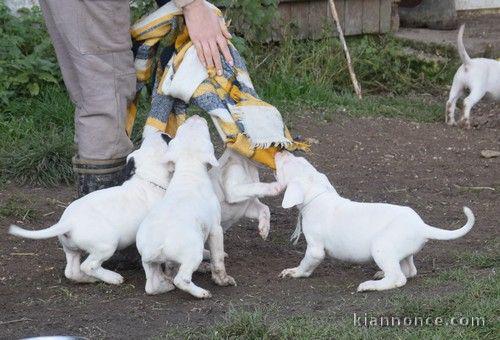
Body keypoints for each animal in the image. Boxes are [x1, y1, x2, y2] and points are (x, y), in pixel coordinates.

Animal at [8, 132, 174, 284]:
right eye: (167, 140)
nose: (162, 132)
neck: (147, 180)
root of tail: (68, 222)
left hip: (71, 249)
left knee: (72, 271)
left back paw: (88, 279)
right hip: (106, 245)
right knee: (88, 265)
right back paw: (112, 278)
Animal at [134, 115, 233, 298]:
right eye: (206, 132)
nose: (195, 116)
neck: (189, 170)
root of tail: (156, 247)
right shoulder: (216, 229)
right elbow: (218, 259)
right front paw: (222, 280)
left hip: (149, 264)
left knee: (151, 287)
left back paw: (166, 285)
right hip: (193, 254)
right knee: (182, 279)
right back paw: (201, 293)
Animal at [276, 152, 474, 292]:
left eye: (286, 165)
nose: (282, 150)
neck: (318, 196)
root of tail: (422, 226)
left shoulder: (315, 249)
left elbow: (306, 264)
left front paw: (294, 272)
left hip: (381, 247)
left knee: (398, 278)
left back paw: (370, 285)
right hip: (400, 252)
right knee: (408, 271)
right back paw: (381, 274)